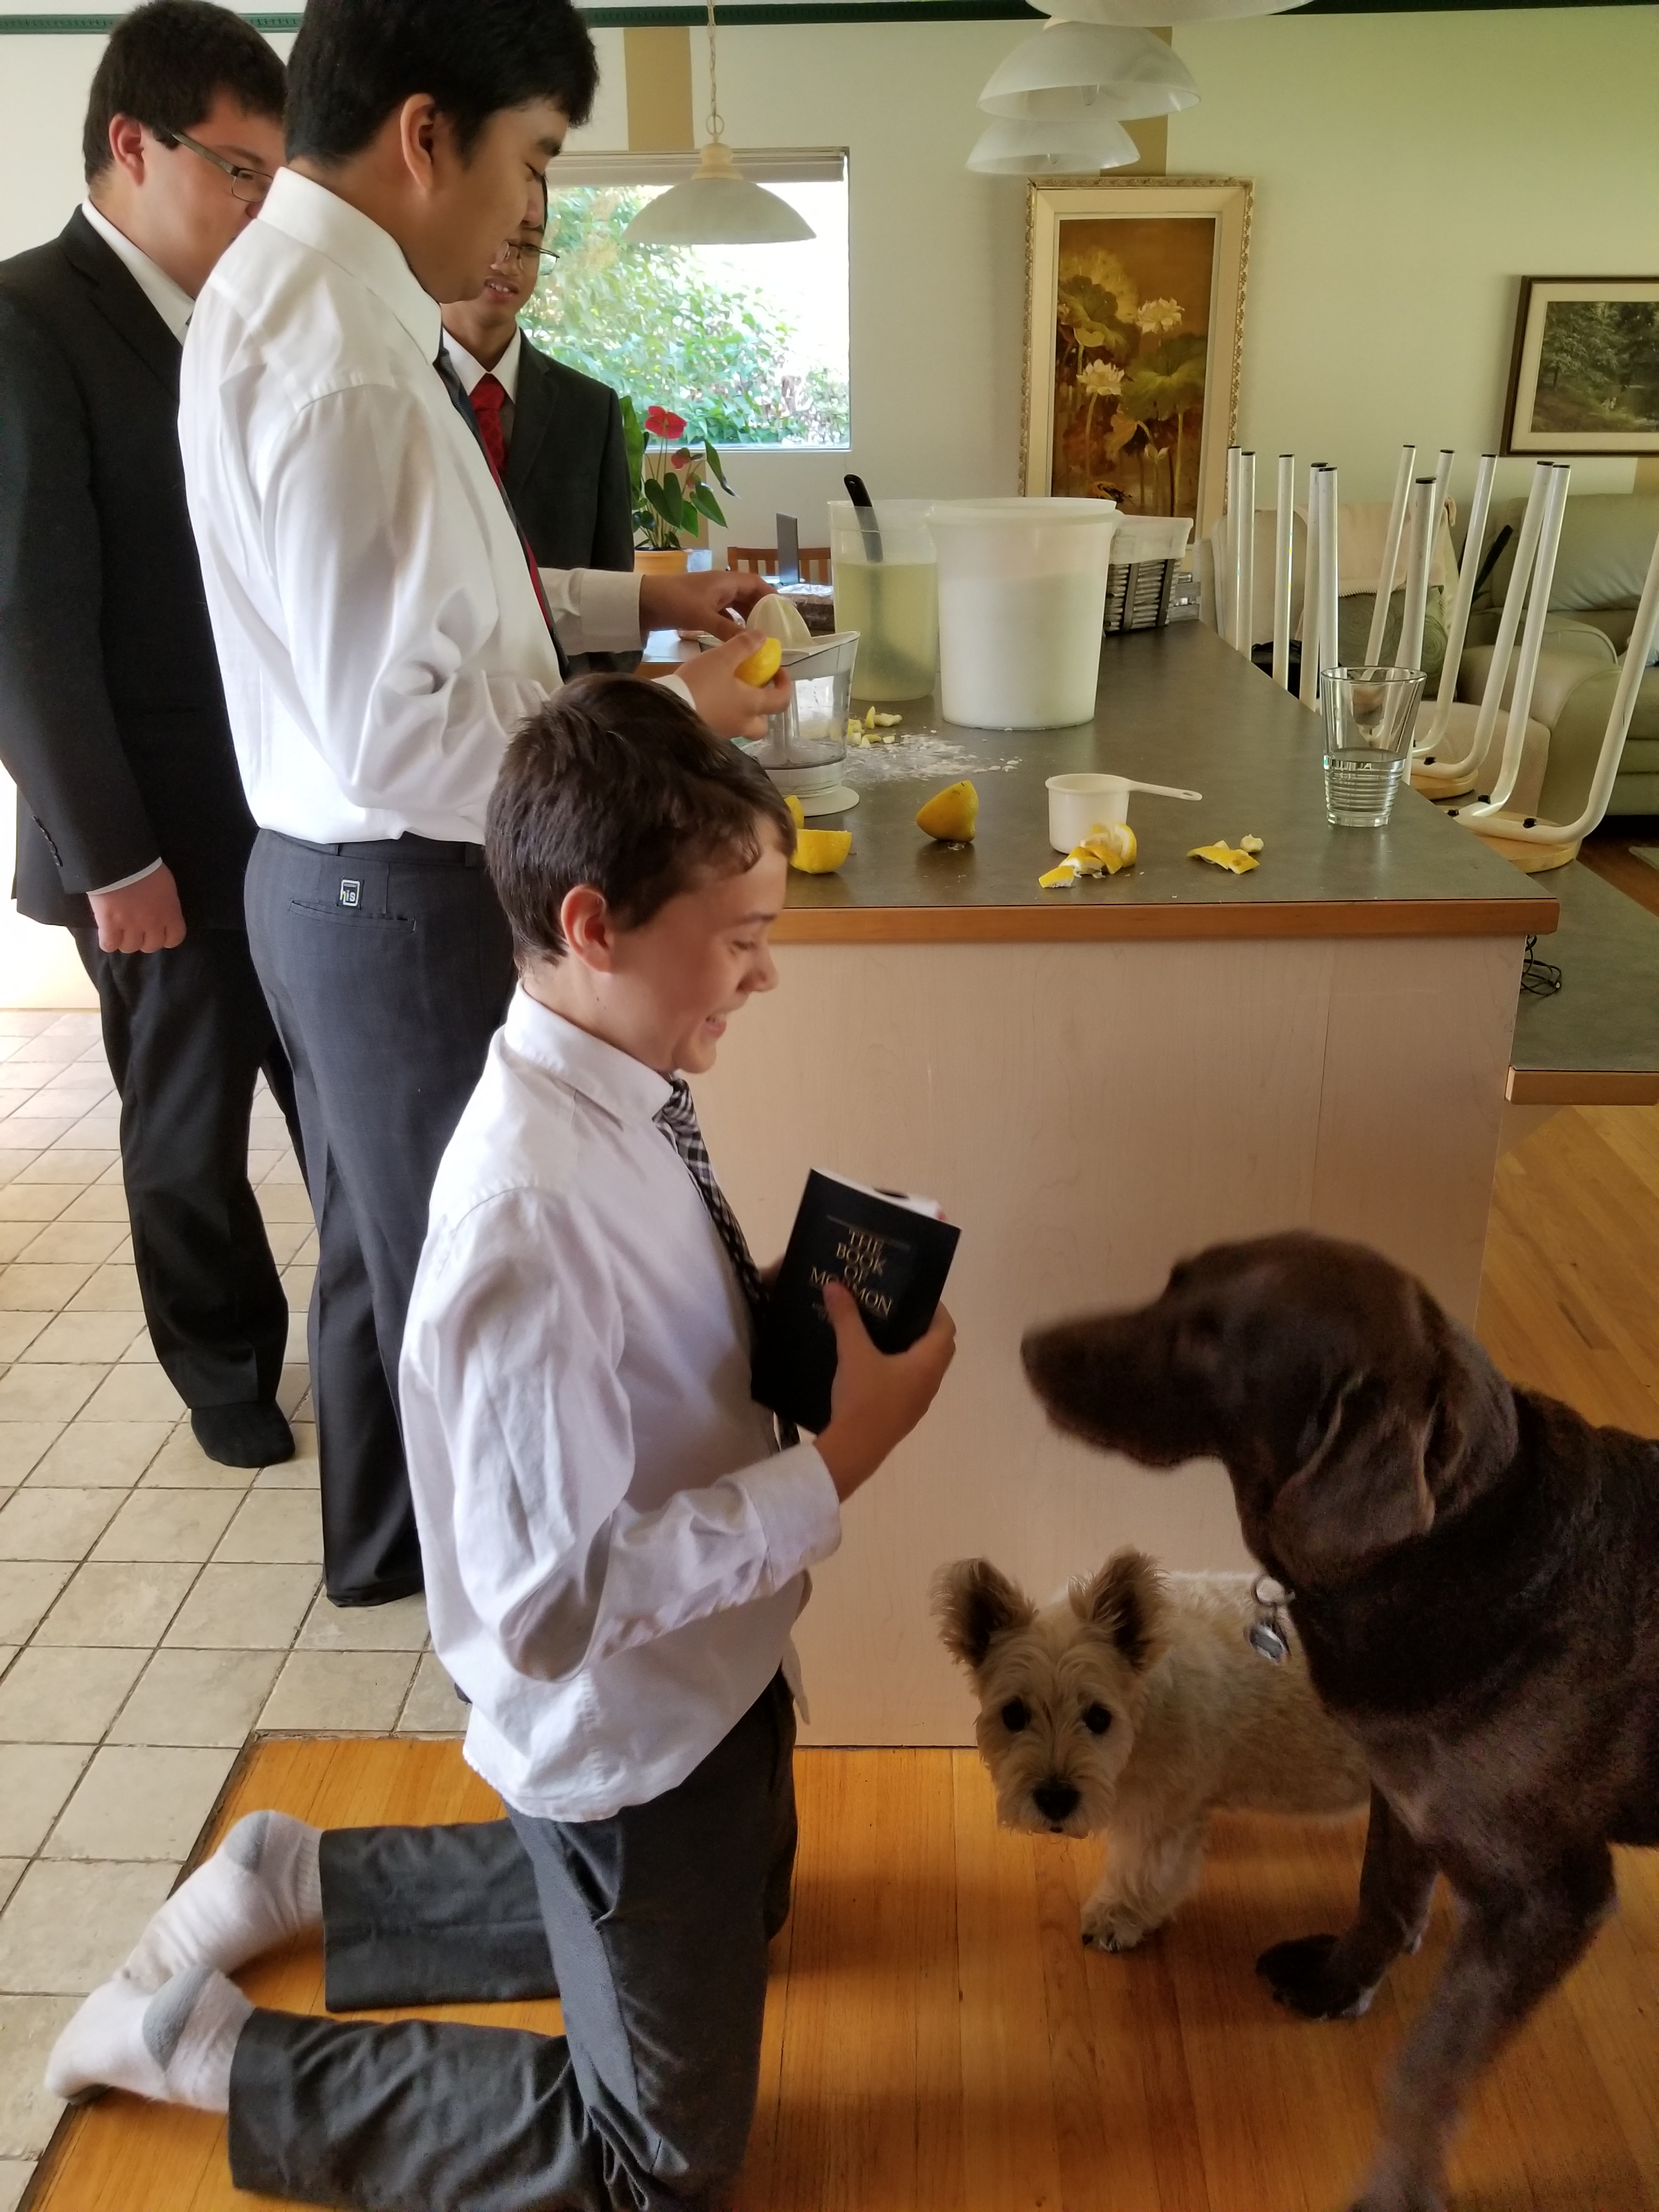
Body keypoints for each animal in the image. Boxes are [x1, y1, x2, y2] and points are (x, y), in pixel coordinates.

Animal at [934, 1549, 1369, 1952]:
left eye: (1099, 1718)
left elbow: (1142, 1871)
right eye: (1013, 1715)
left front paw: (1116, 1917)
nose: (1055, 1801)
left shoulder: (1159, 1815)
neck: (1144, 1704)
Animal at [1021, 1229, 1659, 2212]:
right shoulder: (1402, 1801)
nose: (1028, 1344)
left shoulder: (1548, 1897)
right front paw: (1334, 1988)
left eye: (1208, 1341)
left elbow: (1427, 2068)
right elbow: (1382, 1905)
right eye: (1175, 1283)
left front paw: (1396, 2191)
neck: (1456, 1546)